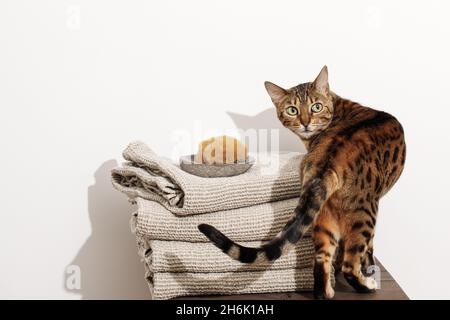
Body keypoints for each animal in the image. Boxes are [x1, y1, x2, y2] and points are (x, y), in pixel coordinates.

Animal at [199, 65, 406, 300]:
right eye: (292, 110)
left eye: (316, 106)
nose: (306, 123)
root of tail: (327, 161)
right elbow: (368, 251)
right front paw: (369, 268)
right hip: (365, 211)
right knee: (350, 263)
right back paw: (367, 284)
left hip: (323, 215)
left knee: (322, 261)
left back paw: (327, 291)